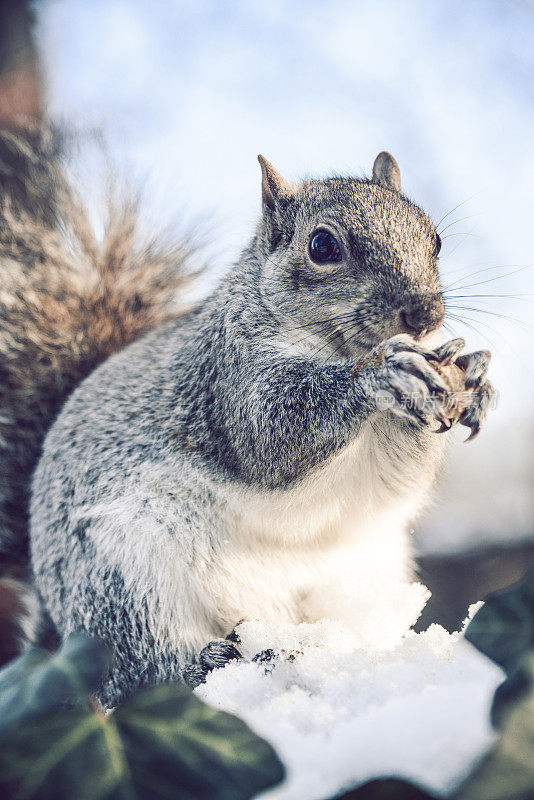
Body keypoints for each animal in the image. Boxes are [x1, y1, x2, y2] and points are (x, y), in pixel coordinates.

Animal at [0, 122, 496, 704]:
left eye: (434, 239)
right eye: (322, 245)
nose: (424, 314)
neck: (331, 346)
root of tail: (56, 629)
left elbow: (399, 479)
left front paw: (467, 378)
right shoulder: (228, 377)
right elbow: (270, 435)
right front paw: (380, 372)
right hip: (123, 580)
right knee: (139, 669)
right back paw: (216, 660)